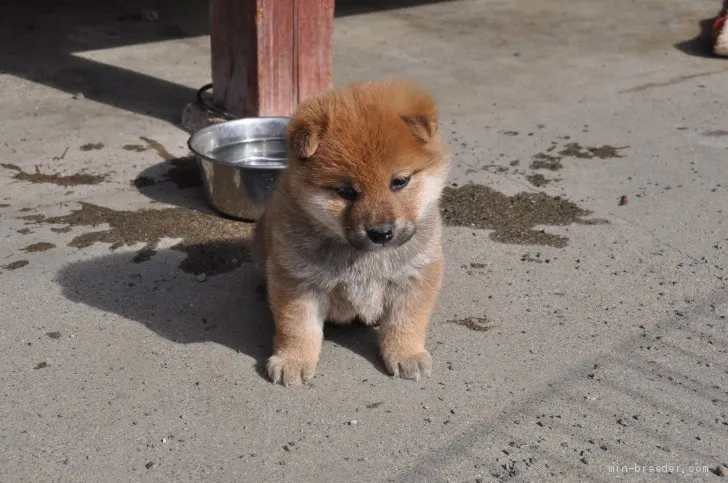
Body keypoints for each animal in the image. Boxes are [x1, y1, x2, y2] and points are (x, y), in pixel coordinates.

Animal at [255, 81, 450, 388]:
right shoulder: (296, 280)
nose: (381, 233)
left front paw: (407, 354)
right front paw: (293, 360)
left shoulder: (415, 274)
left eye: (400, 181)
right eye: (346, 191)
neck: (363, 258)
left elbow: (406, 321)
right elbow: (298, 327)